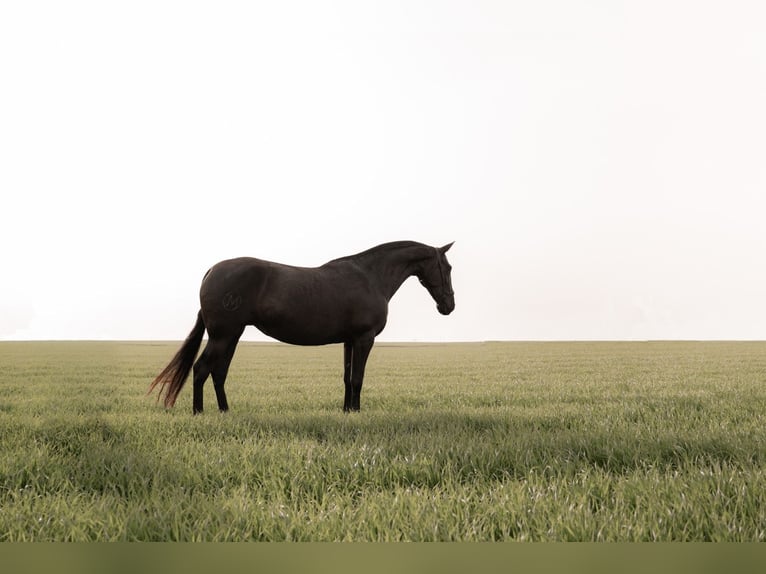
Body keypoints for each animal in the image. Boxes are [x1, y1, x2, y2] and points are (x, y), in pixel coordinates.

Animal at [148, 240, 455, 414]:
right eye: (448, 268)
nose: (449, 306)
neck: (370, 277)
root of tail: (212, 271)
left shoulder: (349, 340)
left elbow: (347, 377)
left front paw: (347, 410)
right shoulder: (364, 339)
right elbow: (358, 378)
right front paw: (357, 411)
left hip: (231, 336)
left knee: (218, 372)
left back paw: (225, 410)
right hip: (222, 336)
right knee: (201, 369)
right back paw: (199, 412)